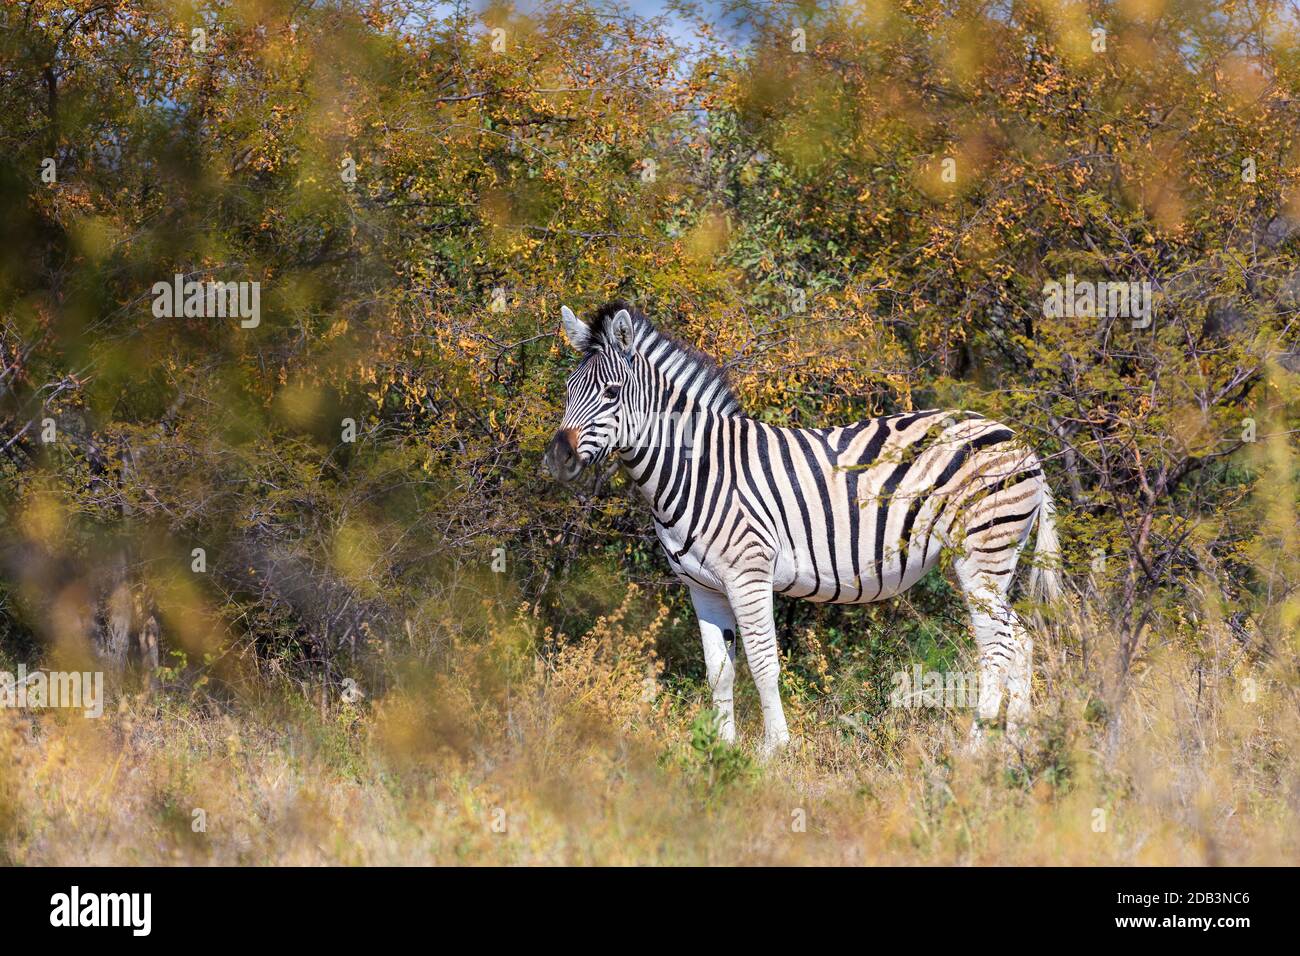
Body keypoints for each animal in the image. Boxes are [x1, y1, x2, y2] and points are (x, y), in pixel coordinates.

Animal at [543, 304, 1060, 754]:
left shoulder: (748, 575)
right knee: (1017, 641)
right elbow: (719, 671)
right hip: (981, 560)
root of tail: (1022, 442)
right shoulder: (701, 587)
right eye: (567, 389)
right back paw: (1014, 744)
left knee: (999, 645)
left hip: (982, 554)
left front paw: (775, 749)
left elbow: (763, 663)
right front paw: (721, 750)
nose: (558, 459)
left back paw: (975, 749)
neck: (697, 469)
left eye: (611, 393)